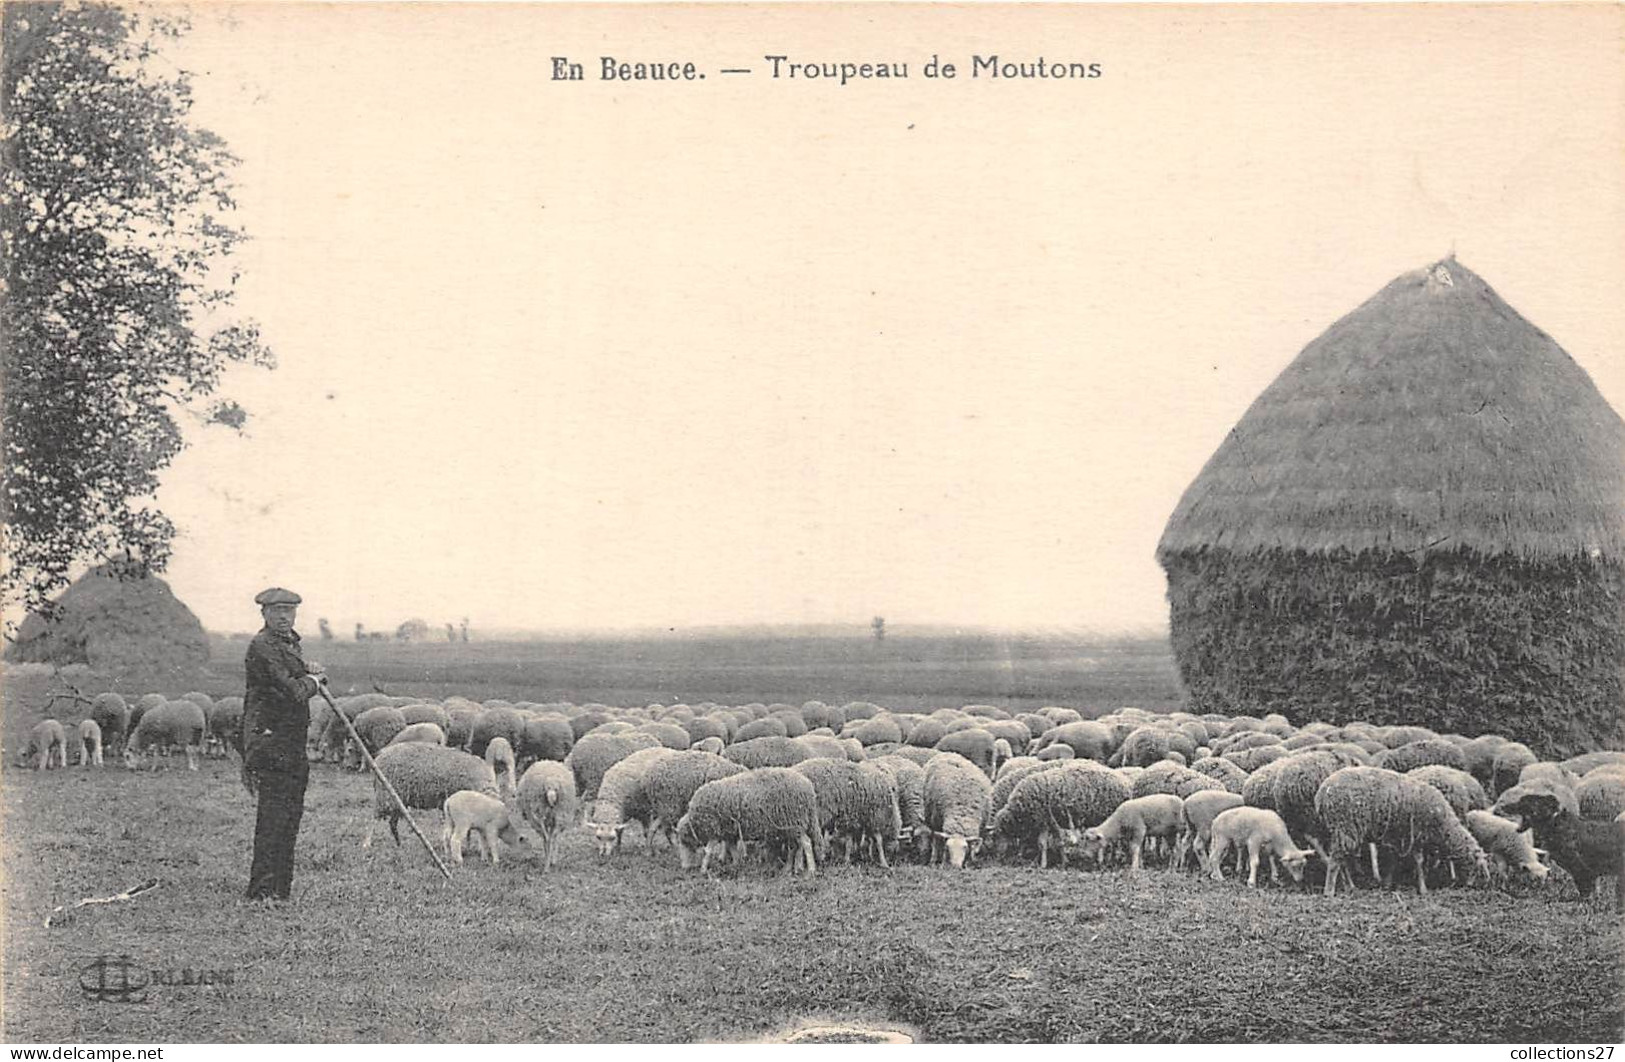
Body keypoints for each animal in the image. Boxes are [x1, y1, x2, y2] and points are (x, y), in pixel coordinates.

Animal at [365, 743, 497, 850]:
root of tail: (379, 757)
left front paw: (468, 846)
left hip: (397, 800)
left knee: (392, 823)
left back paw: (399, 845)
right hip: (384, 795)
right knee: (374, 819)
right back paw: (367, 843)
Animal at [672, 769, 825, 876]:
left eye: (683, 842)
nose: (684, 868)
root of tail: (808, 787)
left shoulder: (715, 830)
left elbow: (708, 851)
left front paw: (703, 869)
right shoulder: (729, 831)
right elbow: (732, 849)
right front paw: (736, 865)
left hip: (795, 821)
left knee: (806, 843)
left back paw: (811, 870)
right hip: (789, 826)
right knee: (794, 847)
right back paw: (788, 869)